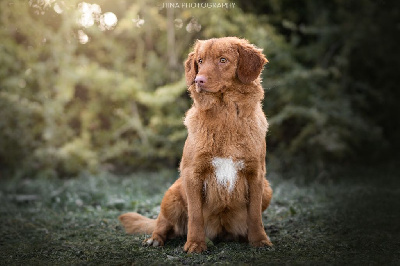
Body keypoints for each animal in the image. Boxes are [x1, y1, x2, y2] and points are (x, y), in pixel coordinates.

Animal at [119, 37, 274, 254]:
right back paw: (155, 239)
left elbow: (255, 215)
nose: (198, 80)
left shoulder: (256, 174)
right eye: (200, 61)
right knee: (162, 223)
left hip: (267, 189)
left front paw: (260, 240)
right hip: (172, 194)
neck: (224, 113)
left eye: (223, 60)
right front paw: (194, 244)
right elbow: (195, 215)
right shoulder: (192, 173)